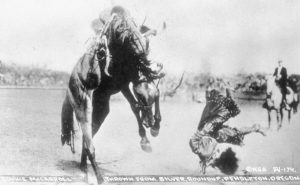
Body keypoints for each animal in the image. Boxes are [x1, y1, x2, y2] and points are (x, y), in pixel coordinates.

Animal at [60, 6, 164, 184]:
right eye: (121, 31)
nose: (150, 122)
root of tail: (69, 88)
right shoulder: (125, 85)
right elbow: (136, 105)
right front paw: (148, 136)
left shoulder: (127, 84)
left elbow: (144, 100)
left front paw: (152, 132)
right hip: (83, 108)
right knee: (89, 143)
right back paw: (98, 177)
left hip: (101, 111)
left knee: (88, 140)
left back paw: (84, 166)